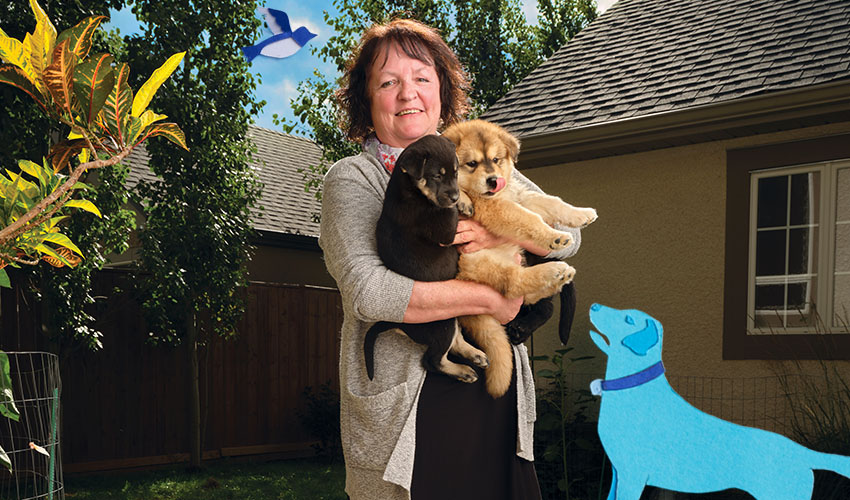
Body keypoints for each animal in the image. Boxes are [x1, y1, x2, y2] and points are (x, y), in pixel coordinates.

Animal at [362, 135, 486, 380]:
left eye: (455, 172)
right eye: (436, 175)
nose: (455, 196)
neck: (409, 188)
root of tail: (397, 324)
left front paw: (463, 198)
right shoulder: (444, 229)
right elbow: (447, 211)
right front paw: (463, 201)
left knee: (455, 342)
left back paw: (475, 354)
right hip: (442, 321)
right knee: (433, 360)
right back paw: (463, 371)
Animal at [438, 119, 596, 396]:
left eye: (496, 159)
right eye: (472, 163)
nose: (494, 181)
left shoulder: (521, 196)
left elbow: (552, 202)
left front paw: (581, 214)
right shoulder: (499, 209)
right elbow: (529, 219)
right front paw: (556, 237)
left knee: (530, 296)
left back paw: (560, 275)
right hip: (482, 264)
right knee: (514, 284)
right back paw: (554, 272)